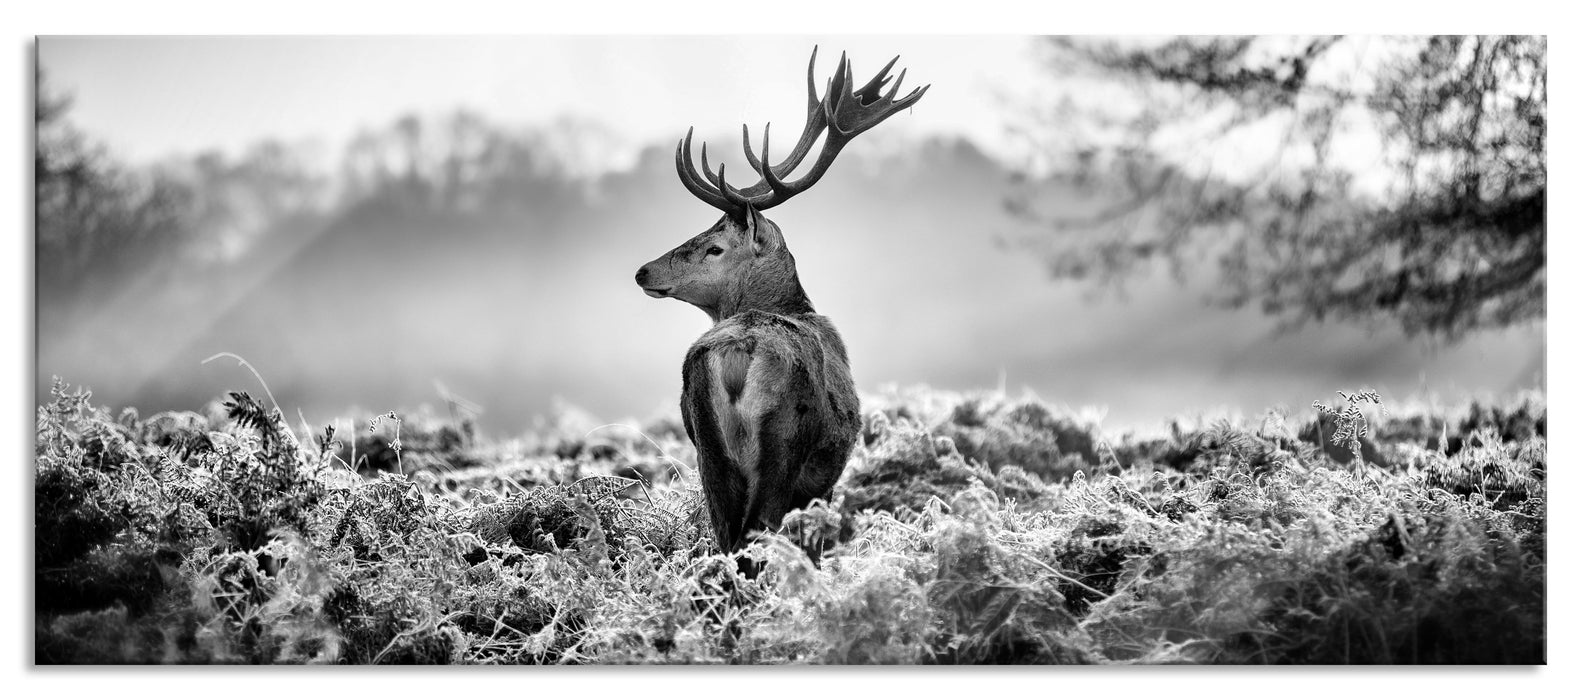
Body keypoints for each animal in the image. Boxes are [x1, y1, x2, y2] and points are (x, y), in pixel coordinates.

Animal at [634, 47, 928, 566]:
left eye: (714, 247)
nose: (643, 271)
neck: (794, 304)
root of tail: (738, 353)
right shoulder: (821, 481)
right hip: (784, 443)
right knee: (756, 535)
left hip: (708, 448)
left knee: (726, 536)